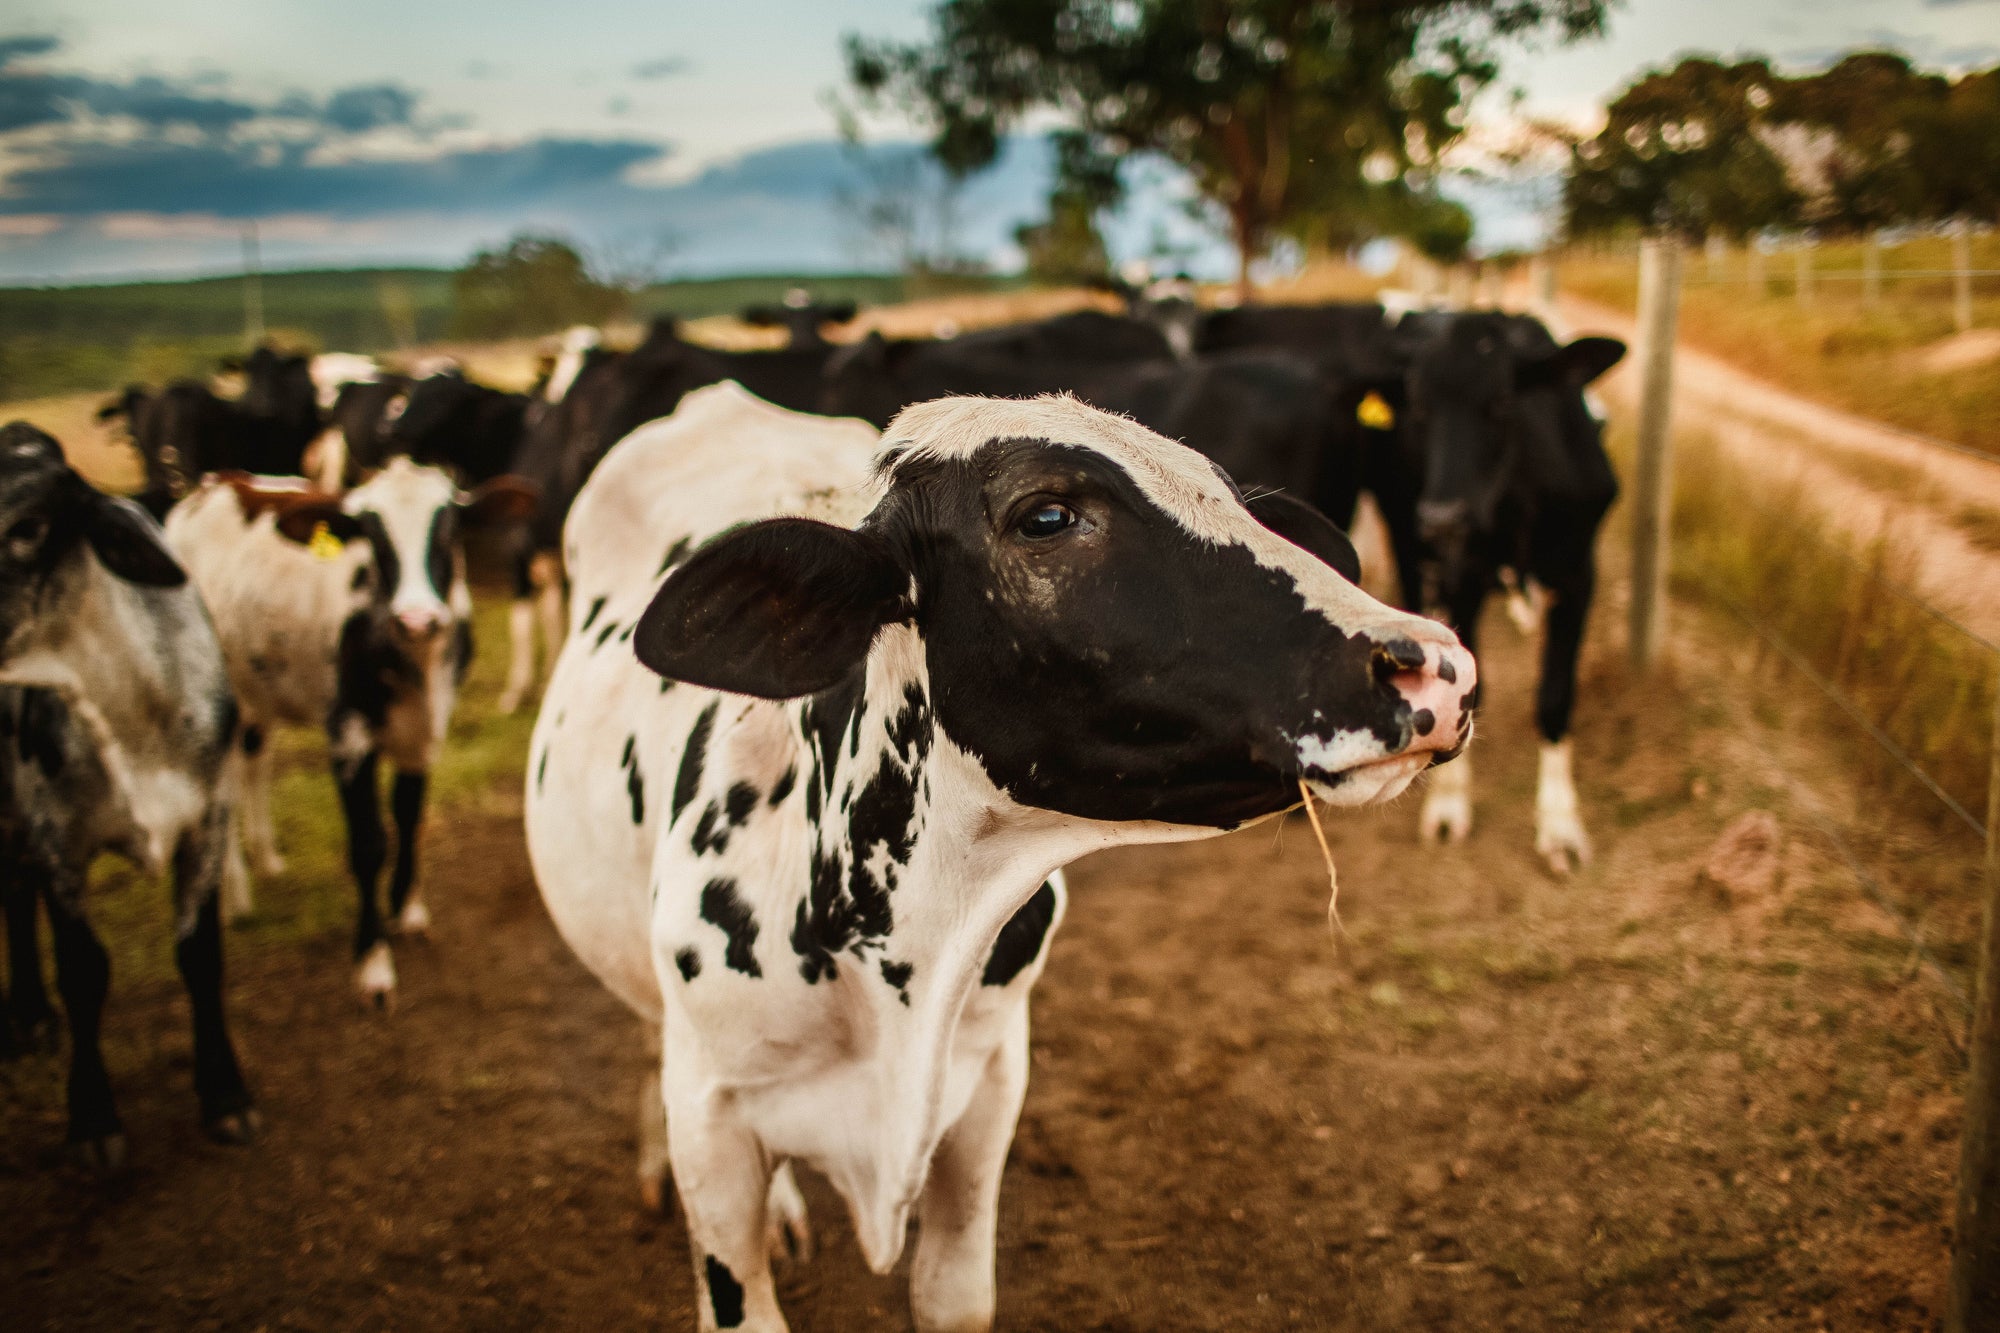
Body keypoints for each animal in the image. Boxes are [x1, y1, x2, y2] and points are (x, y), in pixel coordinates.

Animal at [0, 420, 258, 1160]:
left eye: (27, 527)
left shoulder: (207, 818)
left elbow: (199, 954)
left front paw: (225, 1094)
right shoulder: (57, 838)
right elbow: (84, 971)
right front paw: (93, 1118)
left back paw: (29, 1016)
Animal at [167, 456, 536, 996]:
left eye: (448, 532)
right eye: (373, 539)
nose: (418, 618)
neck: (414, 666)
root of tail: (216, 483)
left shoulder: (425, 731)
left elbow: (408, 816)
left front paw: (407, 910)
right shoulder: (348, 735)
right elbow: (369, 843)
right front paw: (373, 960)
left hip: (259, 691)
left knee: (256, 760)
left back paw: (267, 858)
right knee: (225, 781)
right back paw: (235, 893)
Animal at [524, 382, 1480, 1328]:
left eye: (1235, 499)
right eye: (1046, 515)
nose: (1435, 662)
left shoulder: (988, 1087)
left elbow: (956, 1296)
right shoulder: (715, 1126)